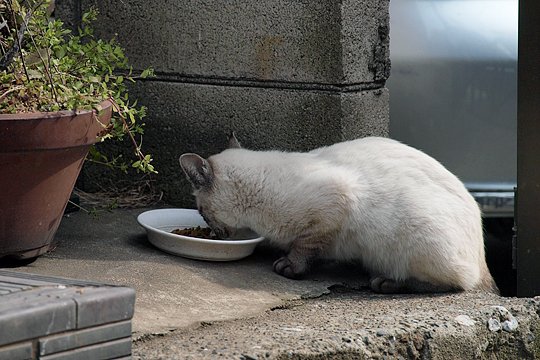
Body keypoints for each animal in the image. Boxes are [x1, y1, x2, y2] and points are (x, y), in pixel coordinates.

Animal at [179, 134, 500, 294]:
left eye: (201, 211)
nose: (211, 231)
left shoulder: (334, 204)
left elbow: (305, 246)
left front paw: (290, 266)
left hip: (415, 241)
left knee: (457, 282)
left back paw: (387, 283)